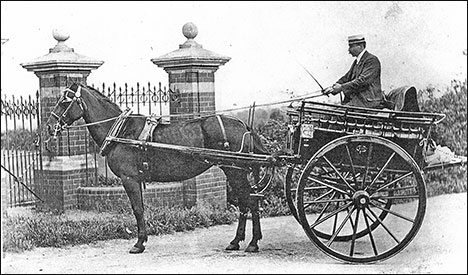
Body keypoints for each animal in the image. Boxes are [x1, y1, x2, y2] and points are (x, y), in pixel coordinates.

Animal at [45, 83, 268, 254]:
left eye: (65, 101)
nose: (49, 126)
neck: (121, 131)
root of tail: (243, 126)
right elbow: (140, 208)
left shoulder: (129, 179)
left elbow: (137, 209)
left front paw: (139, 243)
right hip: (233, 169)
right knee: (246, 202)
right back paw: (237, 242)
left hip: (235, 170)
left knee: (249, 202)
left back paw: (252, 243)